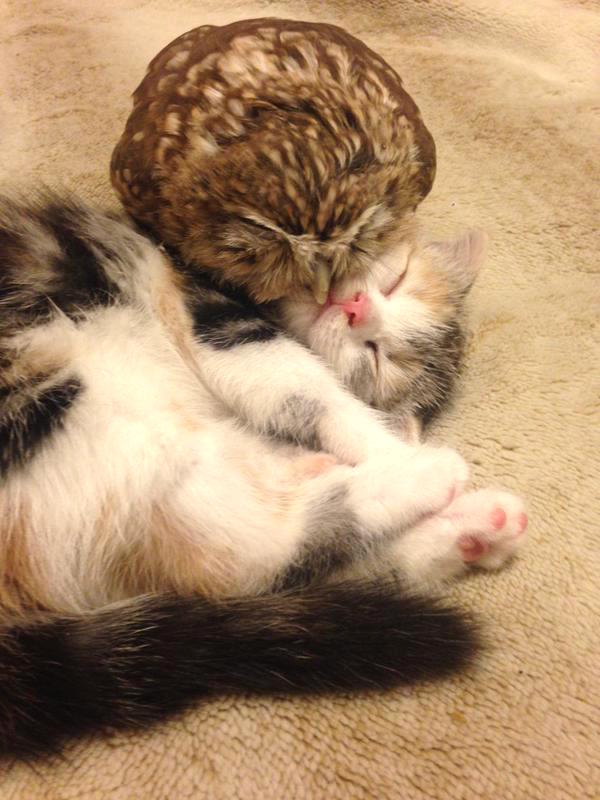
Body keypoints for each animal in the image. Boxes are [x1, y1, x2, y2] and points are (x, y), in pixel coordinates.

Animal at [0, 192, 524, 756]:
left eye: (376, 356)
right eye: (397, 280)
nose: (356, 309)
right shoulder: (215, 308)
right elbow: (303, 385)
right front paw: (390, 446)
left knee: (243, 557)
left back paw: (470, 525)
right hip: (69, 407)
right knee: (238, 547)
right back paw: (428, 478)